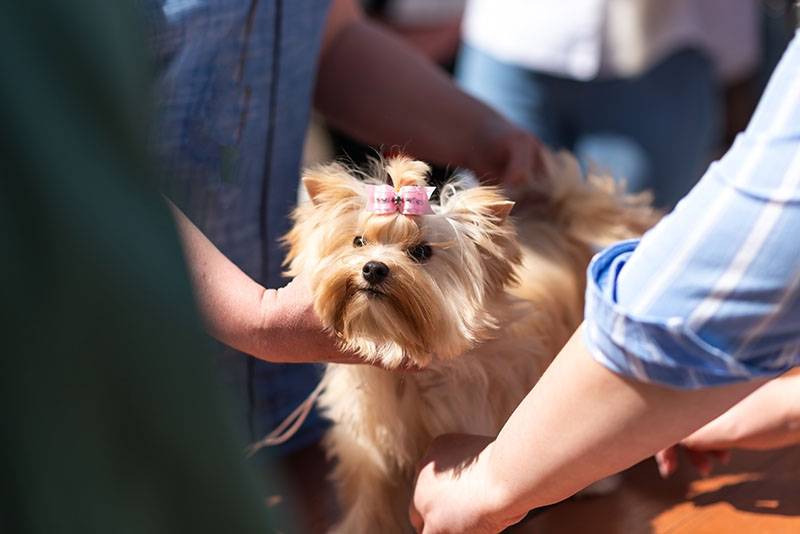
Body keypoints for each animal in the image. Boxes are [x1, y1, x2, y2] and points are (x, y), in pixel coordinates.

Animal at [282, 153, 656, 532]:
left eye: (421, 252)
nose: (373, 268)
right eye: (358, 241)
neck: (402, 355)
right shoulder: (370, 448)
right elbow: (370, 499)